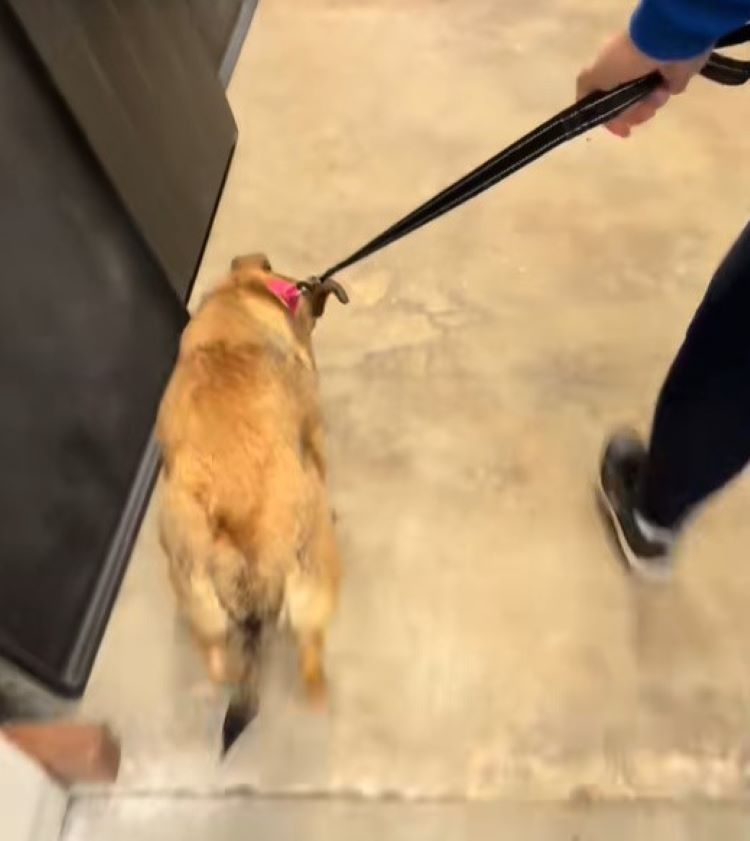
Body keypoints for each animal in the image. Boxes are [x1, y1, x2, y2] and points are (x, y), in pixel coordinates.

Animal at [159, 256, 346, 756]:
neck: (242, 295)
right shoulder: (314, 432)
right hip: (315, 587)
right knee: (311, 670)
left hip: (198, 604)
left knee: (219, 667)